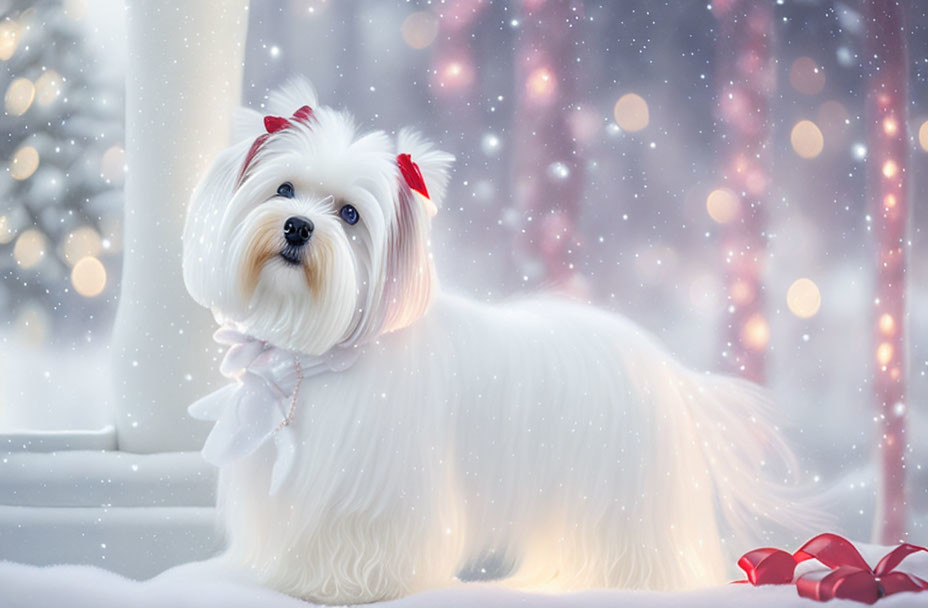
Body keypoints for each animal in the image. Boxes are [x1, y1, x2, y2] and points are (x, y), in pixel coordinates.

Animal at [185, 79, 808, 604]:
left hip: (626, 500)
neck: (316, 359)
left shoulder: (374, 489)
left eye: (350, 215)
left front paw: (340, 586)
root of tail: (667, 369)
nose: (297, 226)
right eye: (284, 188)